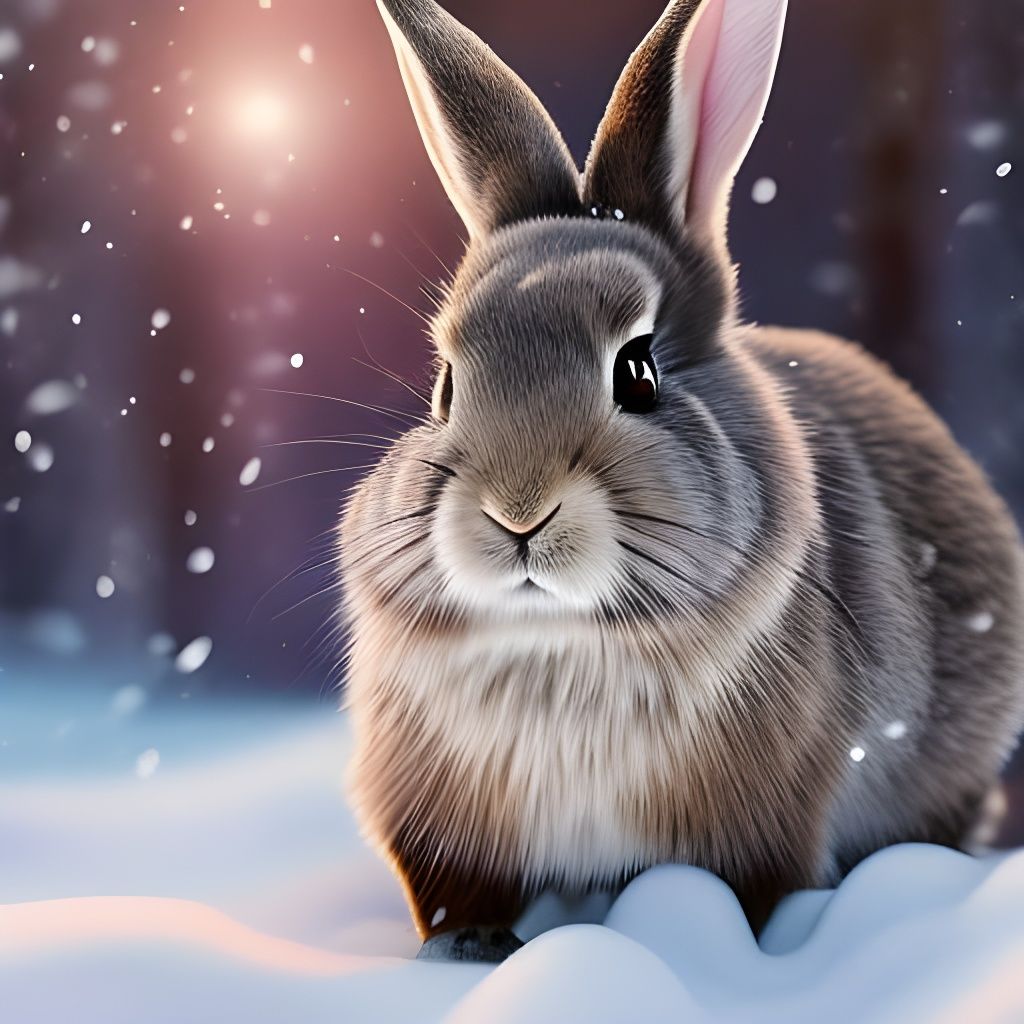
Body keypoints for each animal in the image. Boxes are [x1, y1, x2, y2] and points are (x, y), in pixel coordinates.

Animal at [338, 0, 1024, 963]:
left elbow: (741, 891)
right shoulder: (437, 821)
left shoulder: (763, 816)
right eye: (443, 387)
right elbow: (451, 892)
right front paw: (469, 948)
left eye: (638, 373)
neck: (559, 644)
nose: (516, 512)